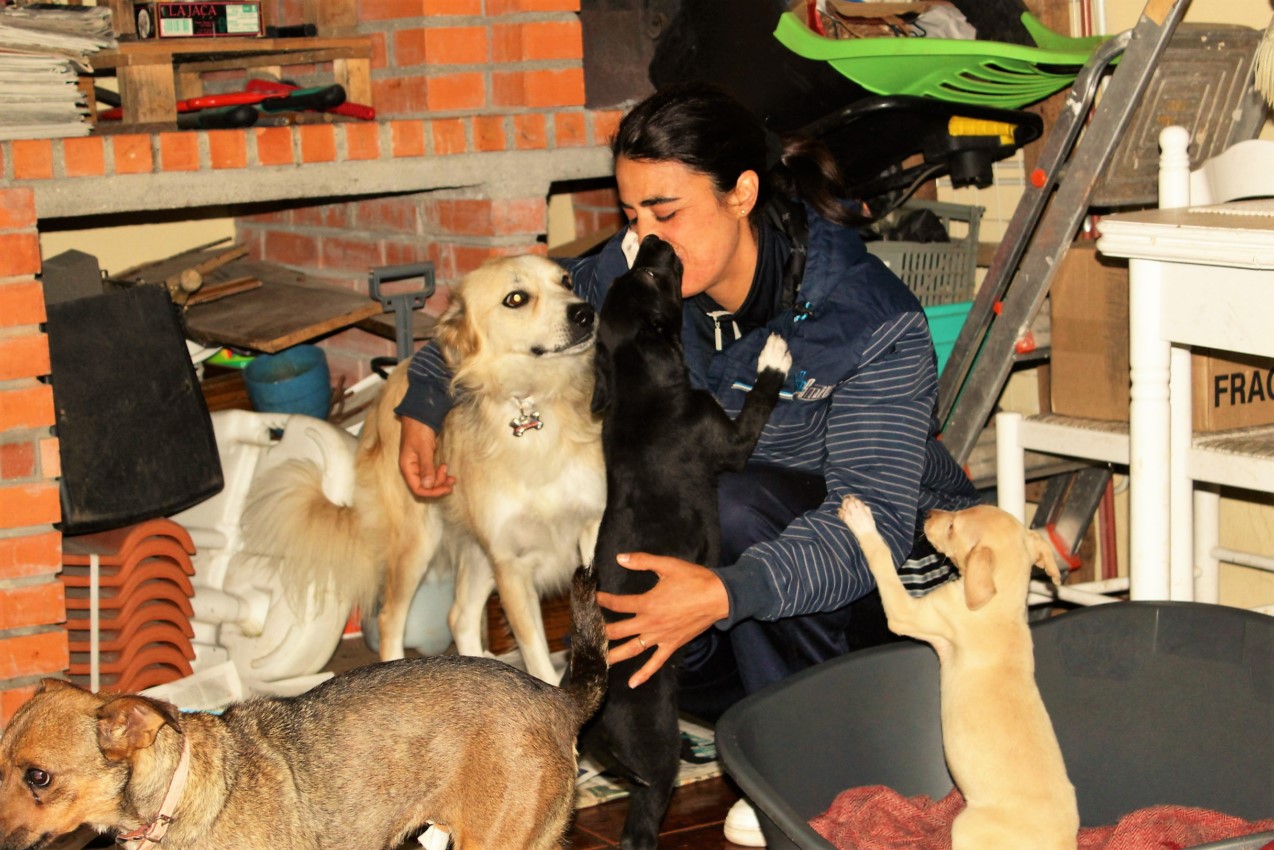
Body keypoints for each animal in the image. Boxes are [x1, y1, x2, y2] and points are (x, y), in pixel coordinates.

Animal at [247, 254, 606, 683]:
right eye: (516, 298)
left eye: (566, 281)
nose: (585, 313)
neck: (532, 406)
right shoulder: (510, 564)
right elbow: (537, 660)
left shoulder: (592, 530)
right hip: (417, 543)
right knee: (391, 619)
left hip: (474, 551)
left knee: (460, 618)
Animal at [591, 235, 789, 850]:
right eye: (656, 275)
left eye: (636, 273)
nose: (653, 238)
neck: (637, 380)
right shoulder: (732, 441)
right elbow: (760, 400)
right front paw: (774, 356)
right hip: (654, 753)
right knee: (640, 826)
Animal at [840, 499, 1080, 850]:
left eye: (953, 527)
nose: (928, 514)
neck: (1000, 604)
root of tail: (1064, 843)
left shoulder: (907, 613)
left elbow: (882, 560)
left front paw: (861, 520)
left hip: (965, 825)